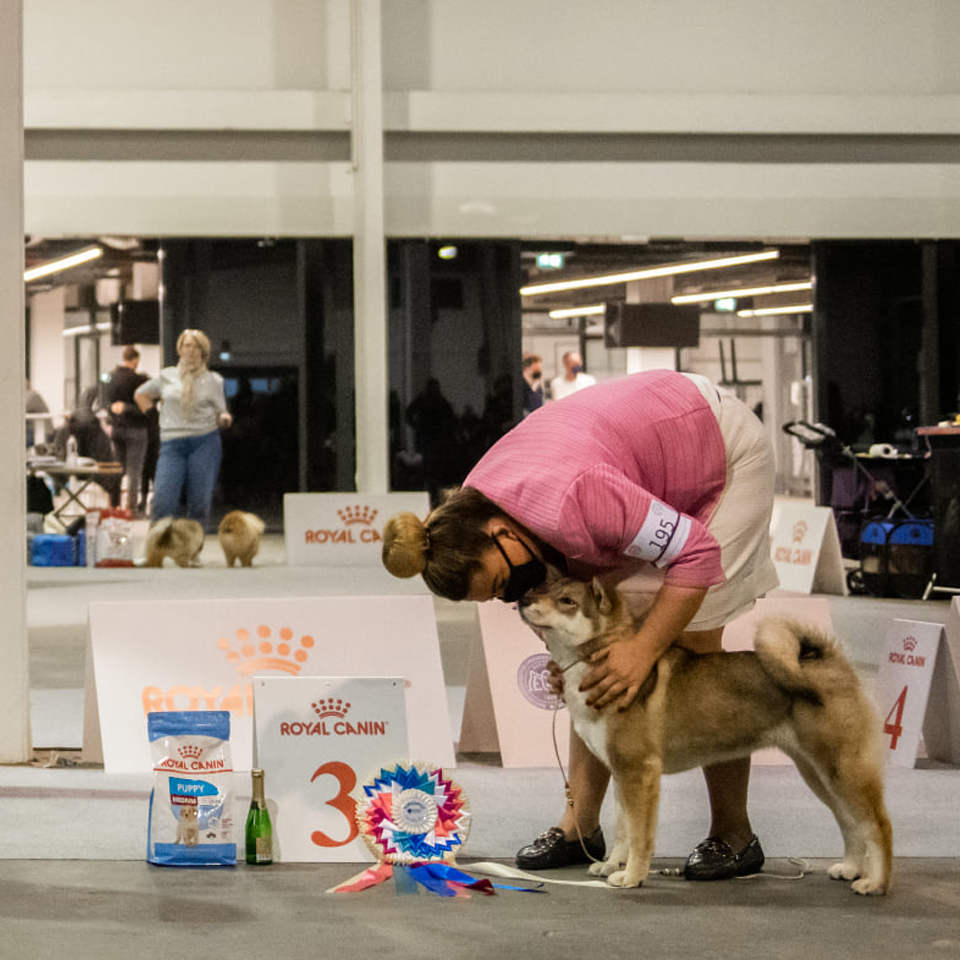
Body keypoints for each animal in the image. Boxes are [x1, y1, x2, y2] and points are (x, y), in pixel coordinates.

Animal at [518, 573, 893, 895]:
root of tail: (833, 666)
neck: (605, 659)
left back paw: (875, 883)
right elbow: (623, 830)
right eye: (543, 588)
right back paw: (850, 869)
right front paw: (611, 866)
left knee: (878, 826)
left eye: (567, 601)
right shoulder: (623, 775)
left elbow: (639, 837)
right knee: (850, 824)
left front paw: (632, 876)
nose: (522, 599)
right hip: (818, 774)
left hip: (842, 771)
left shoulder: (640, 774)